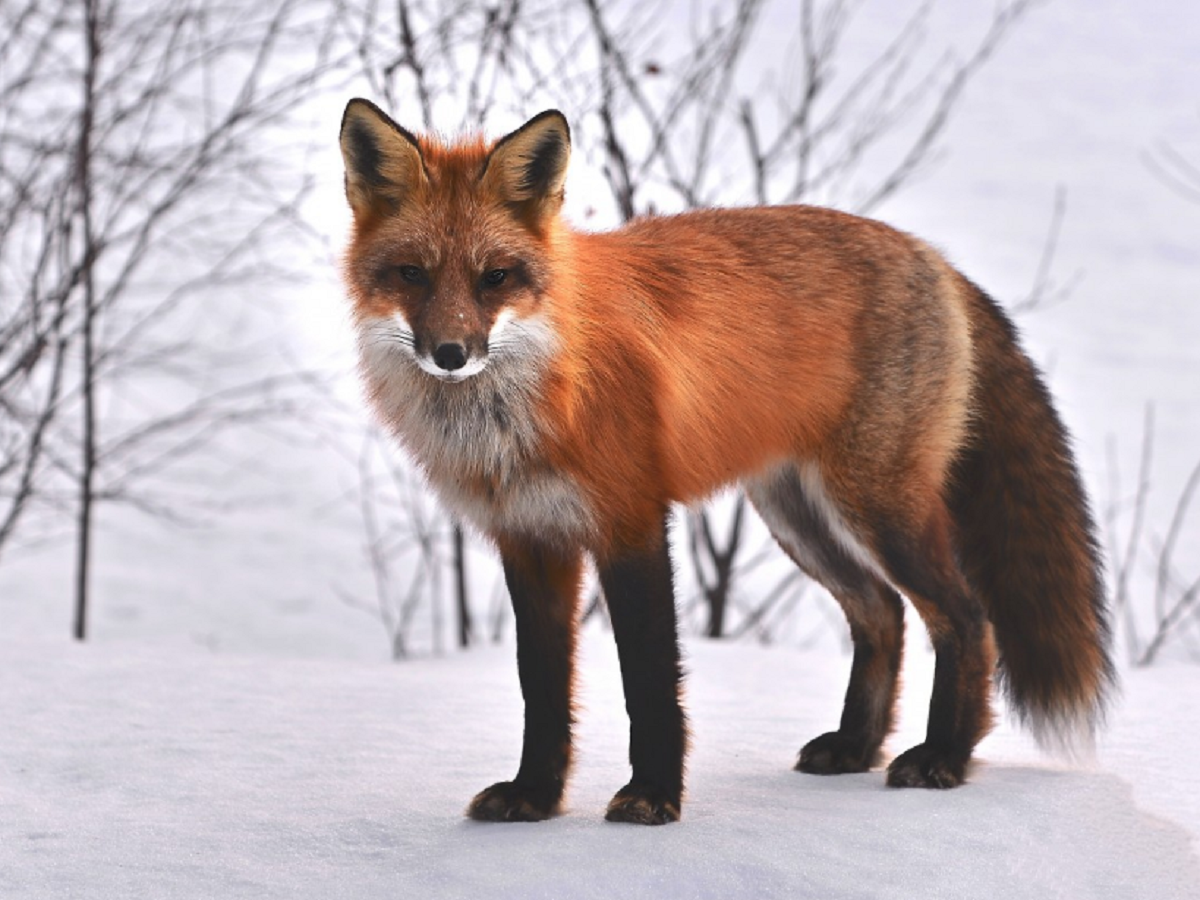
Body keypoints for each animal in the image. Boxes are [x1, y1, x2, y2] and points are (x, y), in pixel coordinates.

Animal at [338, 97, 1113, 825]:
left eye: (495, 277)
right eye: (411, 274)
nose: (451, 354)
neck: (532, 398)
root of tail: (933, 256)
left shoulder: (632, 522)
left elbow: (649, 680)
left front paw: (652, 797)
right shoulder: (530, 540)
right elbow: (543, 689)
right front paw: (534, 796)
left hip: (878, 506)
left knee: (966, 618)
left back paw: (944, 756)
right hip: (798, 515)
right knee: (882, 613)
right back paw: (856, 747)